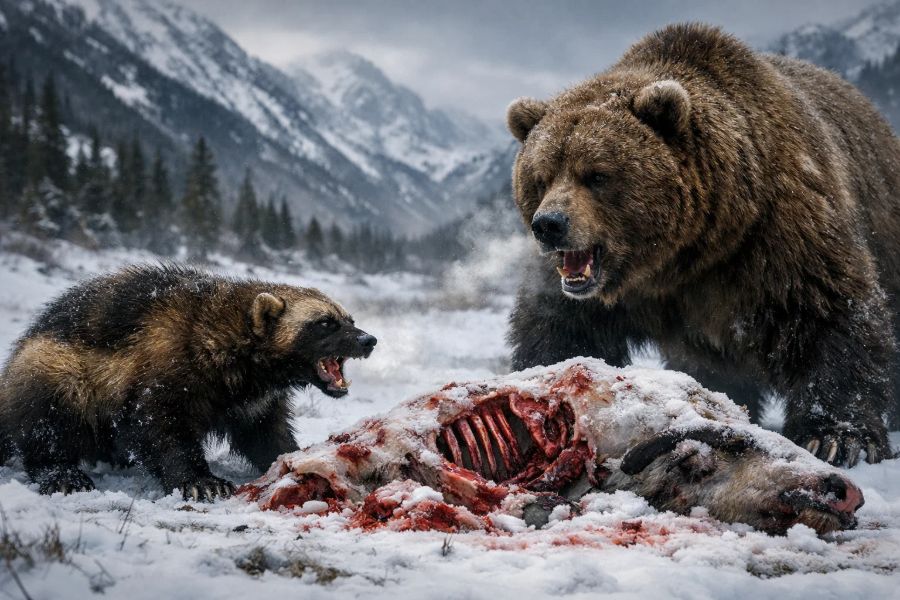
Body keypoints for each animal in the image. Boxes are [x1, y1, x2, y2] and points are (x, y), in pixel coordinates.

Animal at [0, 264, 377, 499]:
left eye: (350, 319)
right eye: (325, 323)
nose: (368, 340)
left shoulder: (256, 402)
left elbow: (267, 434)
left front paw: (294, 457)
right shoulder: (166, 367)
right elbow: (161, 426)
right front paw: (202, 482)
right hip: (54, 366)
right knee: (45, 423)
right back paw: (62, 473)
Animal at [505, 23, 900, 466]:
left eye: (597, 174)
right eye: (541, 176)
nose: (549, 224)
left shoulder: (778, 231)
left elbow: (828, 311)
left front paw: (836, 437)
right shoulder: (607, 293)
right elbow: (560, 326)